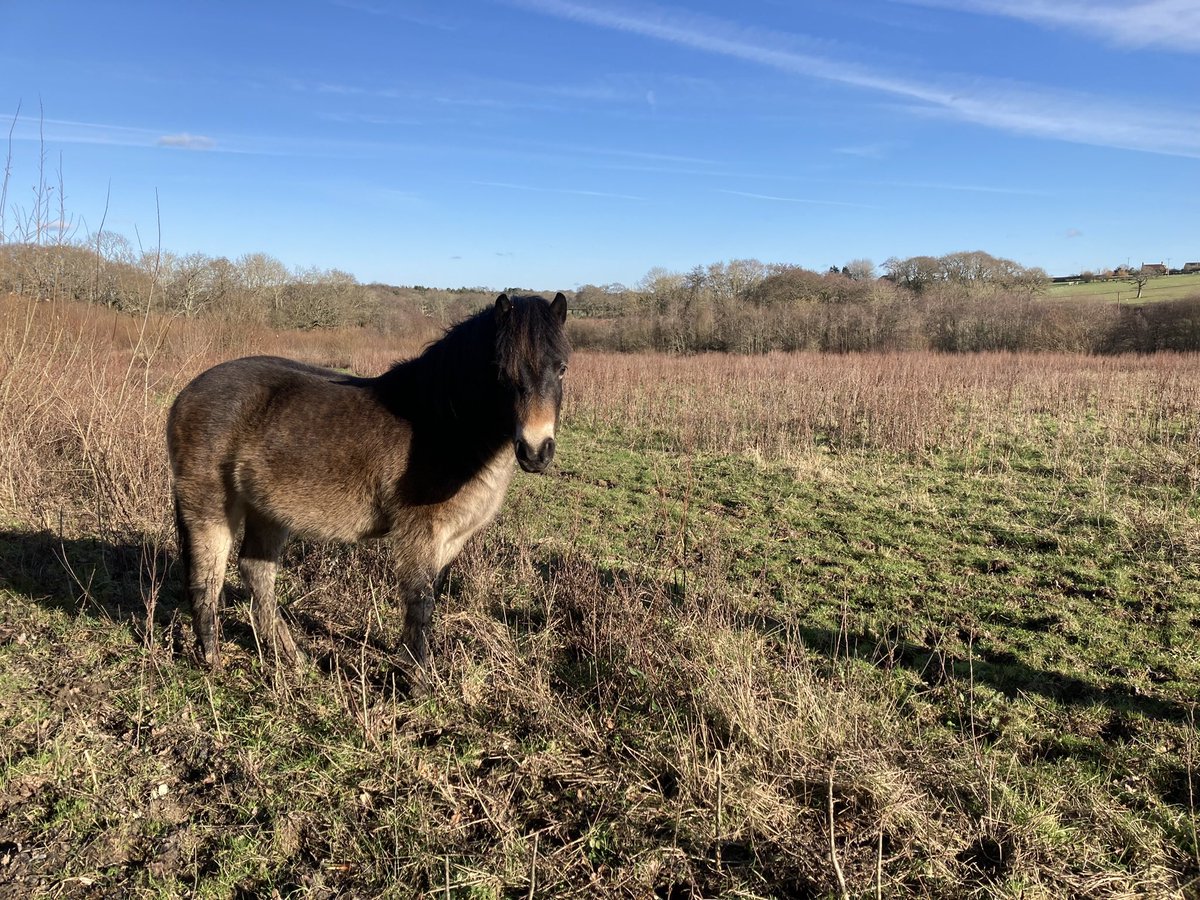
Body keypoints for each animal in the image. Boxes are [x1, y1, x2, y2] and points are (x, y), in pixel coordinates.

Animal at [167, 292, 570, 681]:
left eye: (562, 368)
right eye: (500, 371)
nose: (535, 451)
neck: (441, 425)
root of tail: (186, 394)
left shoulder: (452, 538)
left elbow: (432, 596)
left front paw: (409, 663)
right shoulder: (420, 533)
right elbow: (420, 600)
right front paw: (418, 682)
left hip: (266, 510)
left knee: (255, 572)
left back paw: (292, 658)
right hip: (210, 508)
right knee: (207, 577)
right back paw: (213, 660)